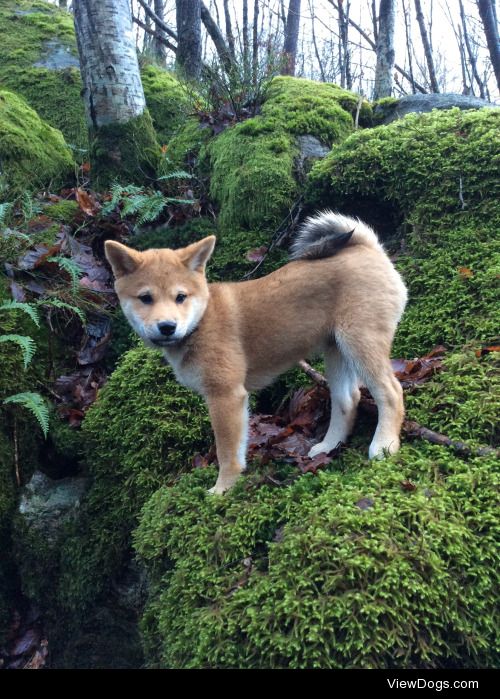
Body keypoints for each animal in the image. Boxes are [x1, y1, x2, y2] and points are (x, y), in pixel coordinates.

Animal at [104, 212, 406, 492]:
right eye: (146, 298)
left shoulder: (226, 396)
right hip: (337, 350)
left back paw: (384, 445)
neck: (201, 322)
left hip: (361, 341)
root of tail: (368, 248)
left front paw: (222, 489)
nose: (167, 327)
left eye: (181, 297)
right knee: (347, 399)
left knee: (391, 391)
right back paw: (328, 447)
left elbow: (227, 452)